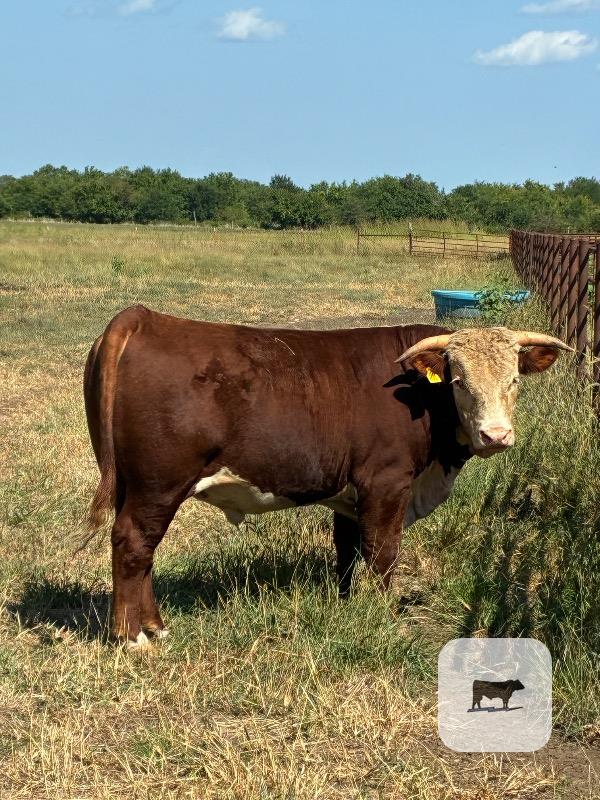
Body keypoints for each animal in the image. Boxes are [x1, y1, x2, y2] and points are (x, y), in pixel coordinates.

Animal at [83, 304, 571, 647]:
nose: (496, 435)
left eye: (513, 381)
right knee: (133, 543)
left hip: (135, 484)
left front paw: (347, 603)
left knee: (143, 551)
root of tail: (144, 318)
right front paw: (381, 614)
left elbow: (347, 550)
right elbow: (382, 552)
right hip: (159, 484)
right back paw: (133, 637)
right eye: (458, 382)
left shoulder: (352, 495)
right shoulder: (386, 482)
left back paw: (155, 626)